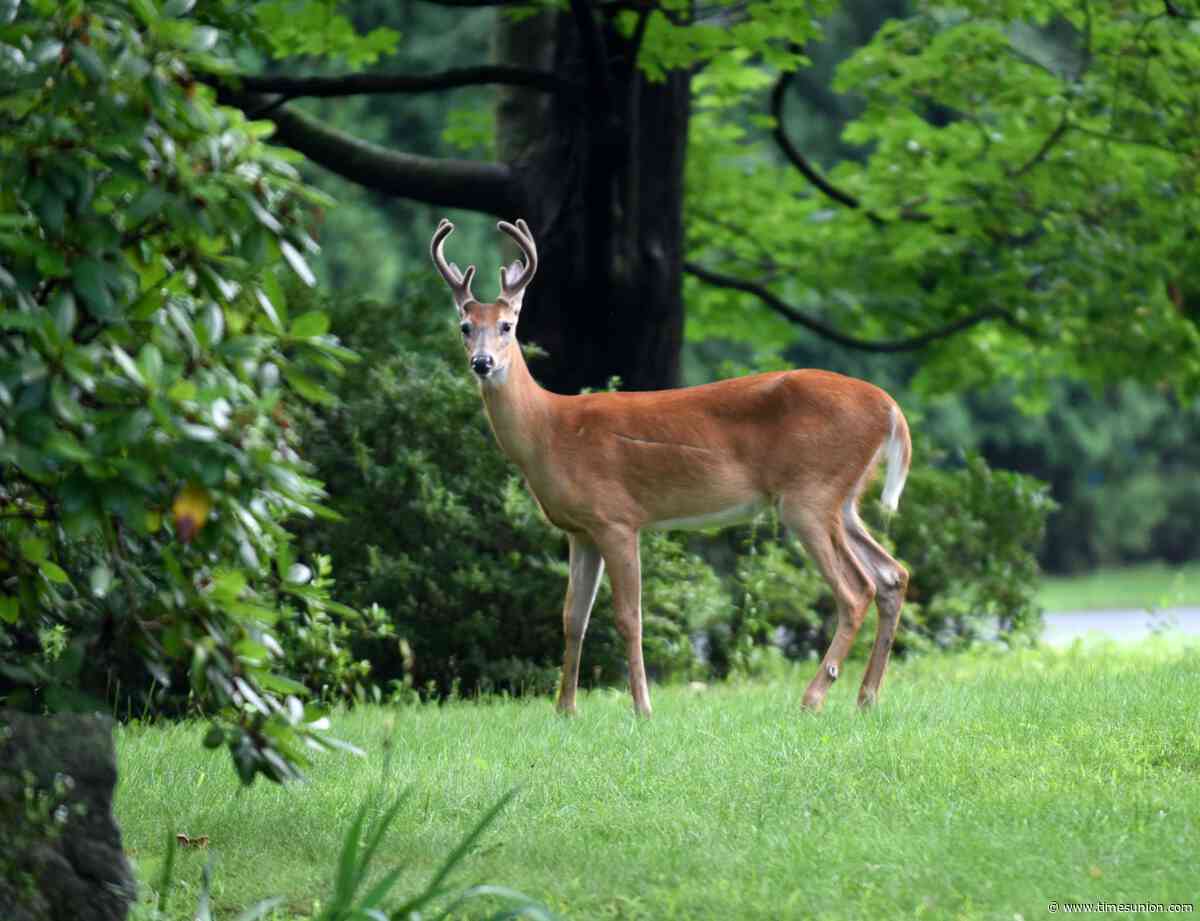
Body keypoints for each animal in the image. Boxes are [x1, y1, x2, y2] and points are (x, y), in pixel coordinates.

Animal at [430, 218, 912, 717]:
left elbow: (629, 617)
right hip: (844, 499)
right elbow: (573, 617)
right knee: (893, 575)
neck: (550, 429)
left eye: (507, 325)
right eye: (465, 326)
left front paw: (642, 707)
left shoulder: (617, 518)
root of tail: (890, 406)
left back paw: (814, 697)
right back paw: (867, 697)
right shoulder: (580, 530)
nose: (482, 362)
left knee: (856, 591)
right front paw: (565, 709)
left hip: (809, 495)